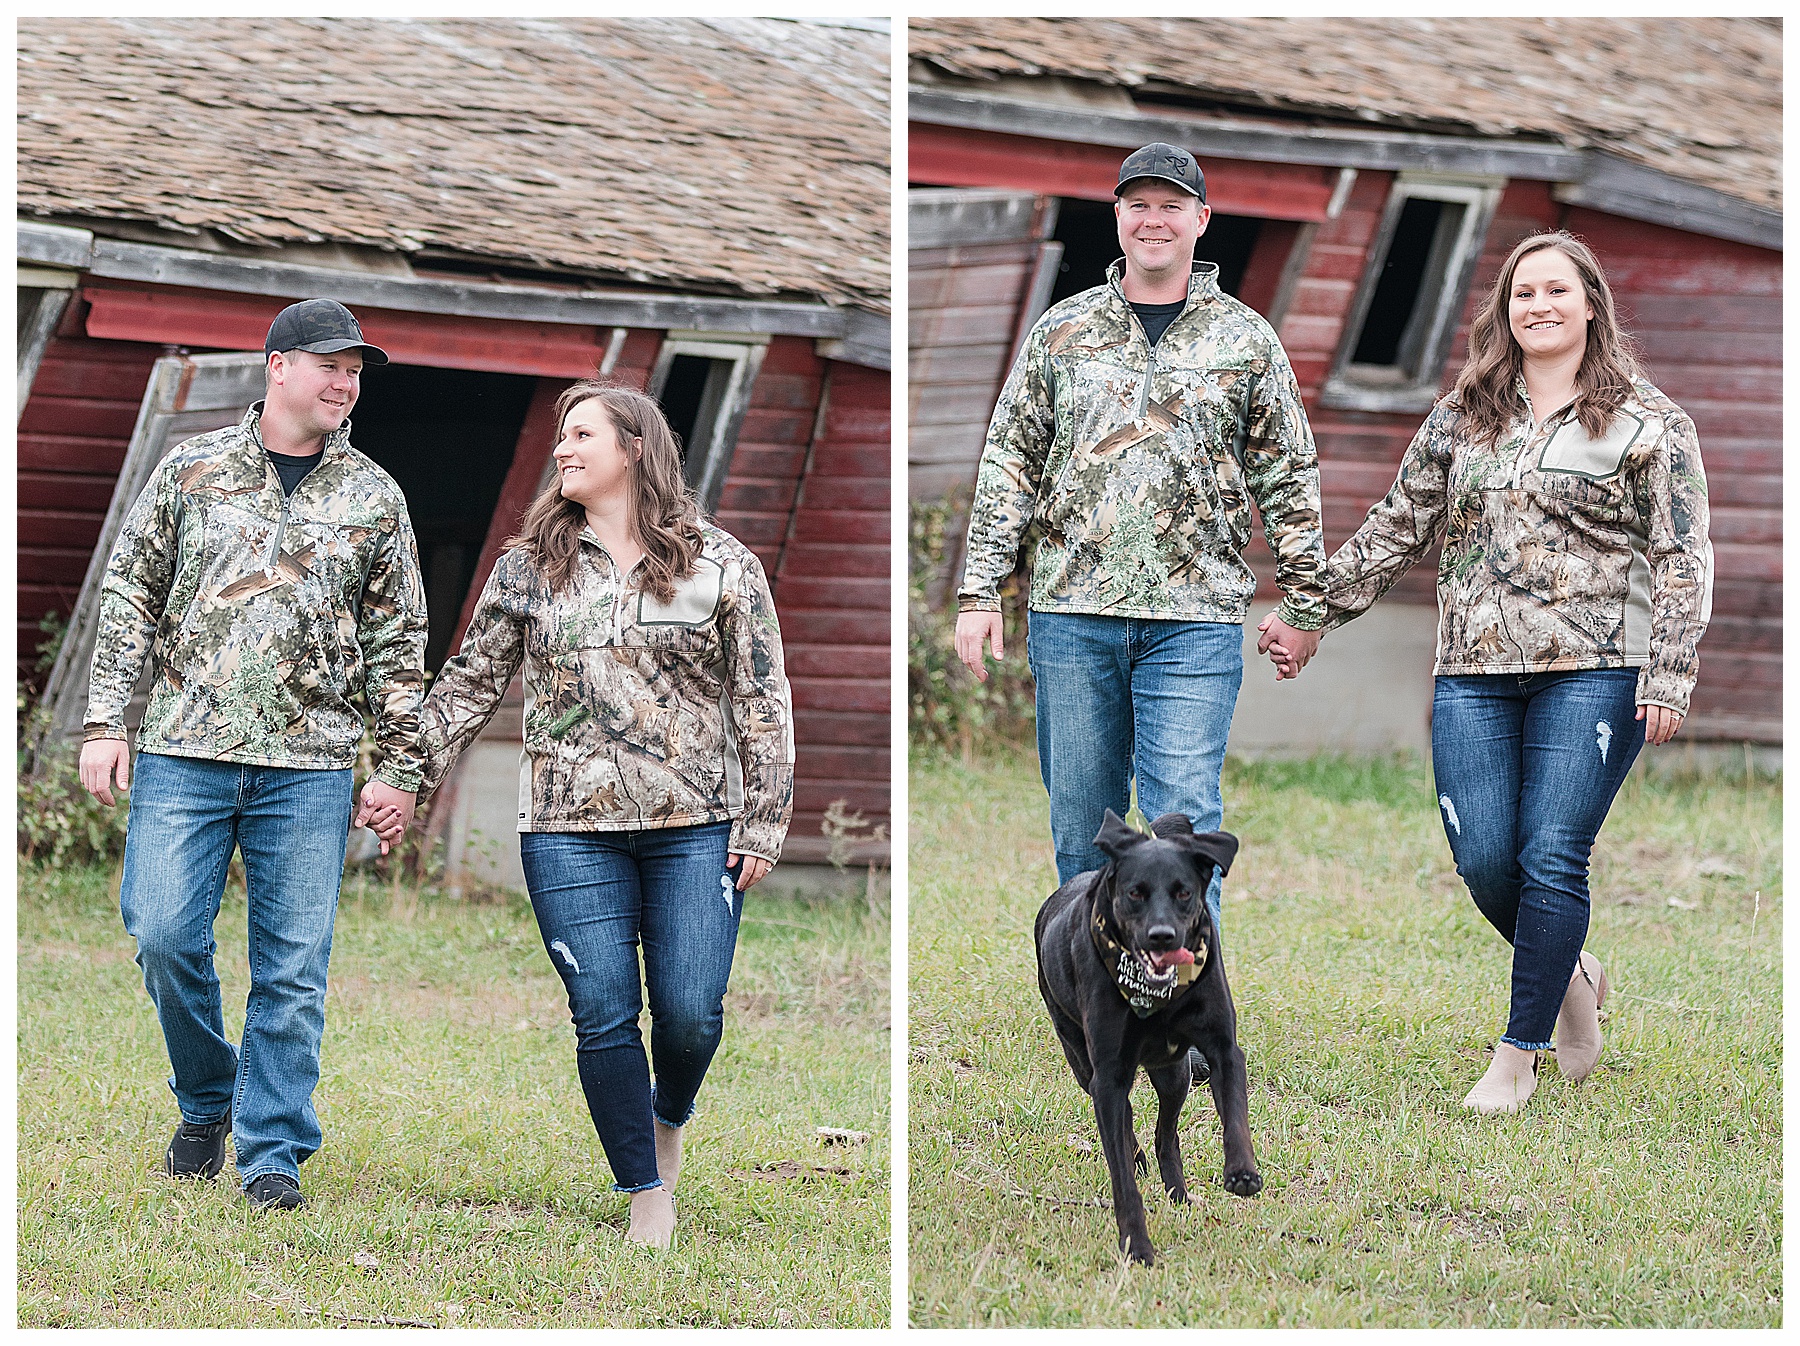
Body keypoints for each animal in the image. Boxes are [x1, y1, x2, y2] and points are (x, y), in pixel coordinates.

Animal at [1036, 809, 1260, 1259]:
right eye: (1135, 893)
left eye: (1184, 892)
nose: (1162, 936)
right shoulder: (1108, 1075)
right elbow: (1121, 1175)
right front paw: (1136, 1245)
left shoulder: (1223, 1049)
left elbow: (1235, 1114)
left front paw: (1242, 1172)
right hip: (1083, 1062)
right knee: (1125, 1122)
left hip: (1176, 1073)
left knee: (1165, 1133)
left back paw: (1179, 1193)